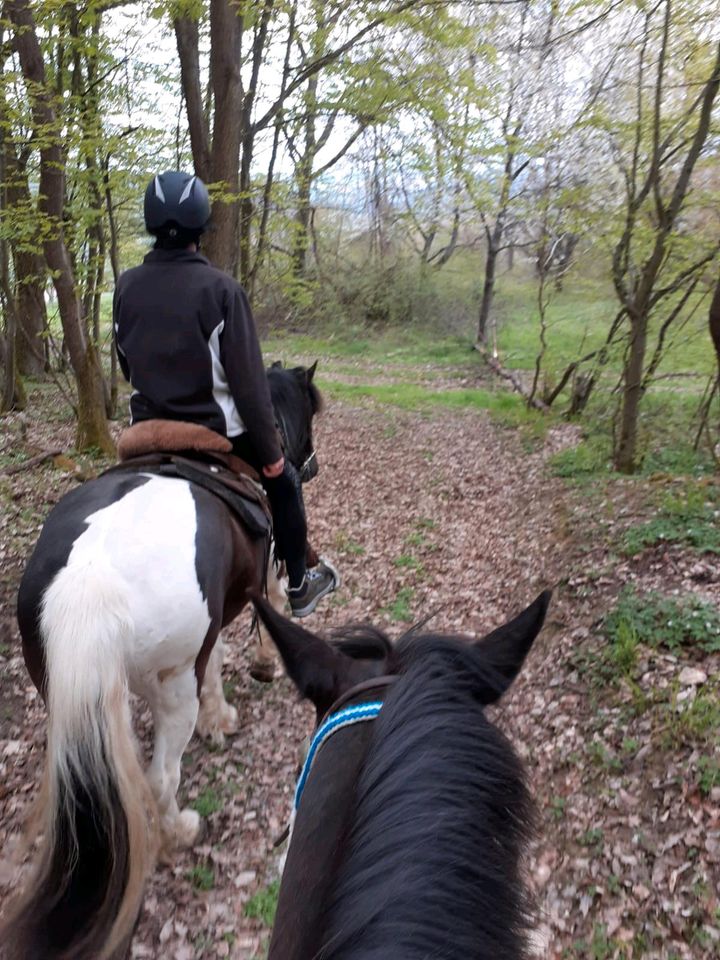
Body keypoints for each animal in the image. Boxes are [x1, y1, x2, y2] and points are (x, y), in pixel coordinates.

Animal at [0, 362, 320, 960]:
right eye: (309, 410)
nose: (304, 465)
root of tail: (90, 576)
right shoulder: (261, 578)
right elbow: (267, 612)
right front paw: (255, 678)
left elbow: (215, 659)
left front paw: (221, 716)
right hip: (169, 689)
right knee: (159, 778)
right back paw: (180, 832)